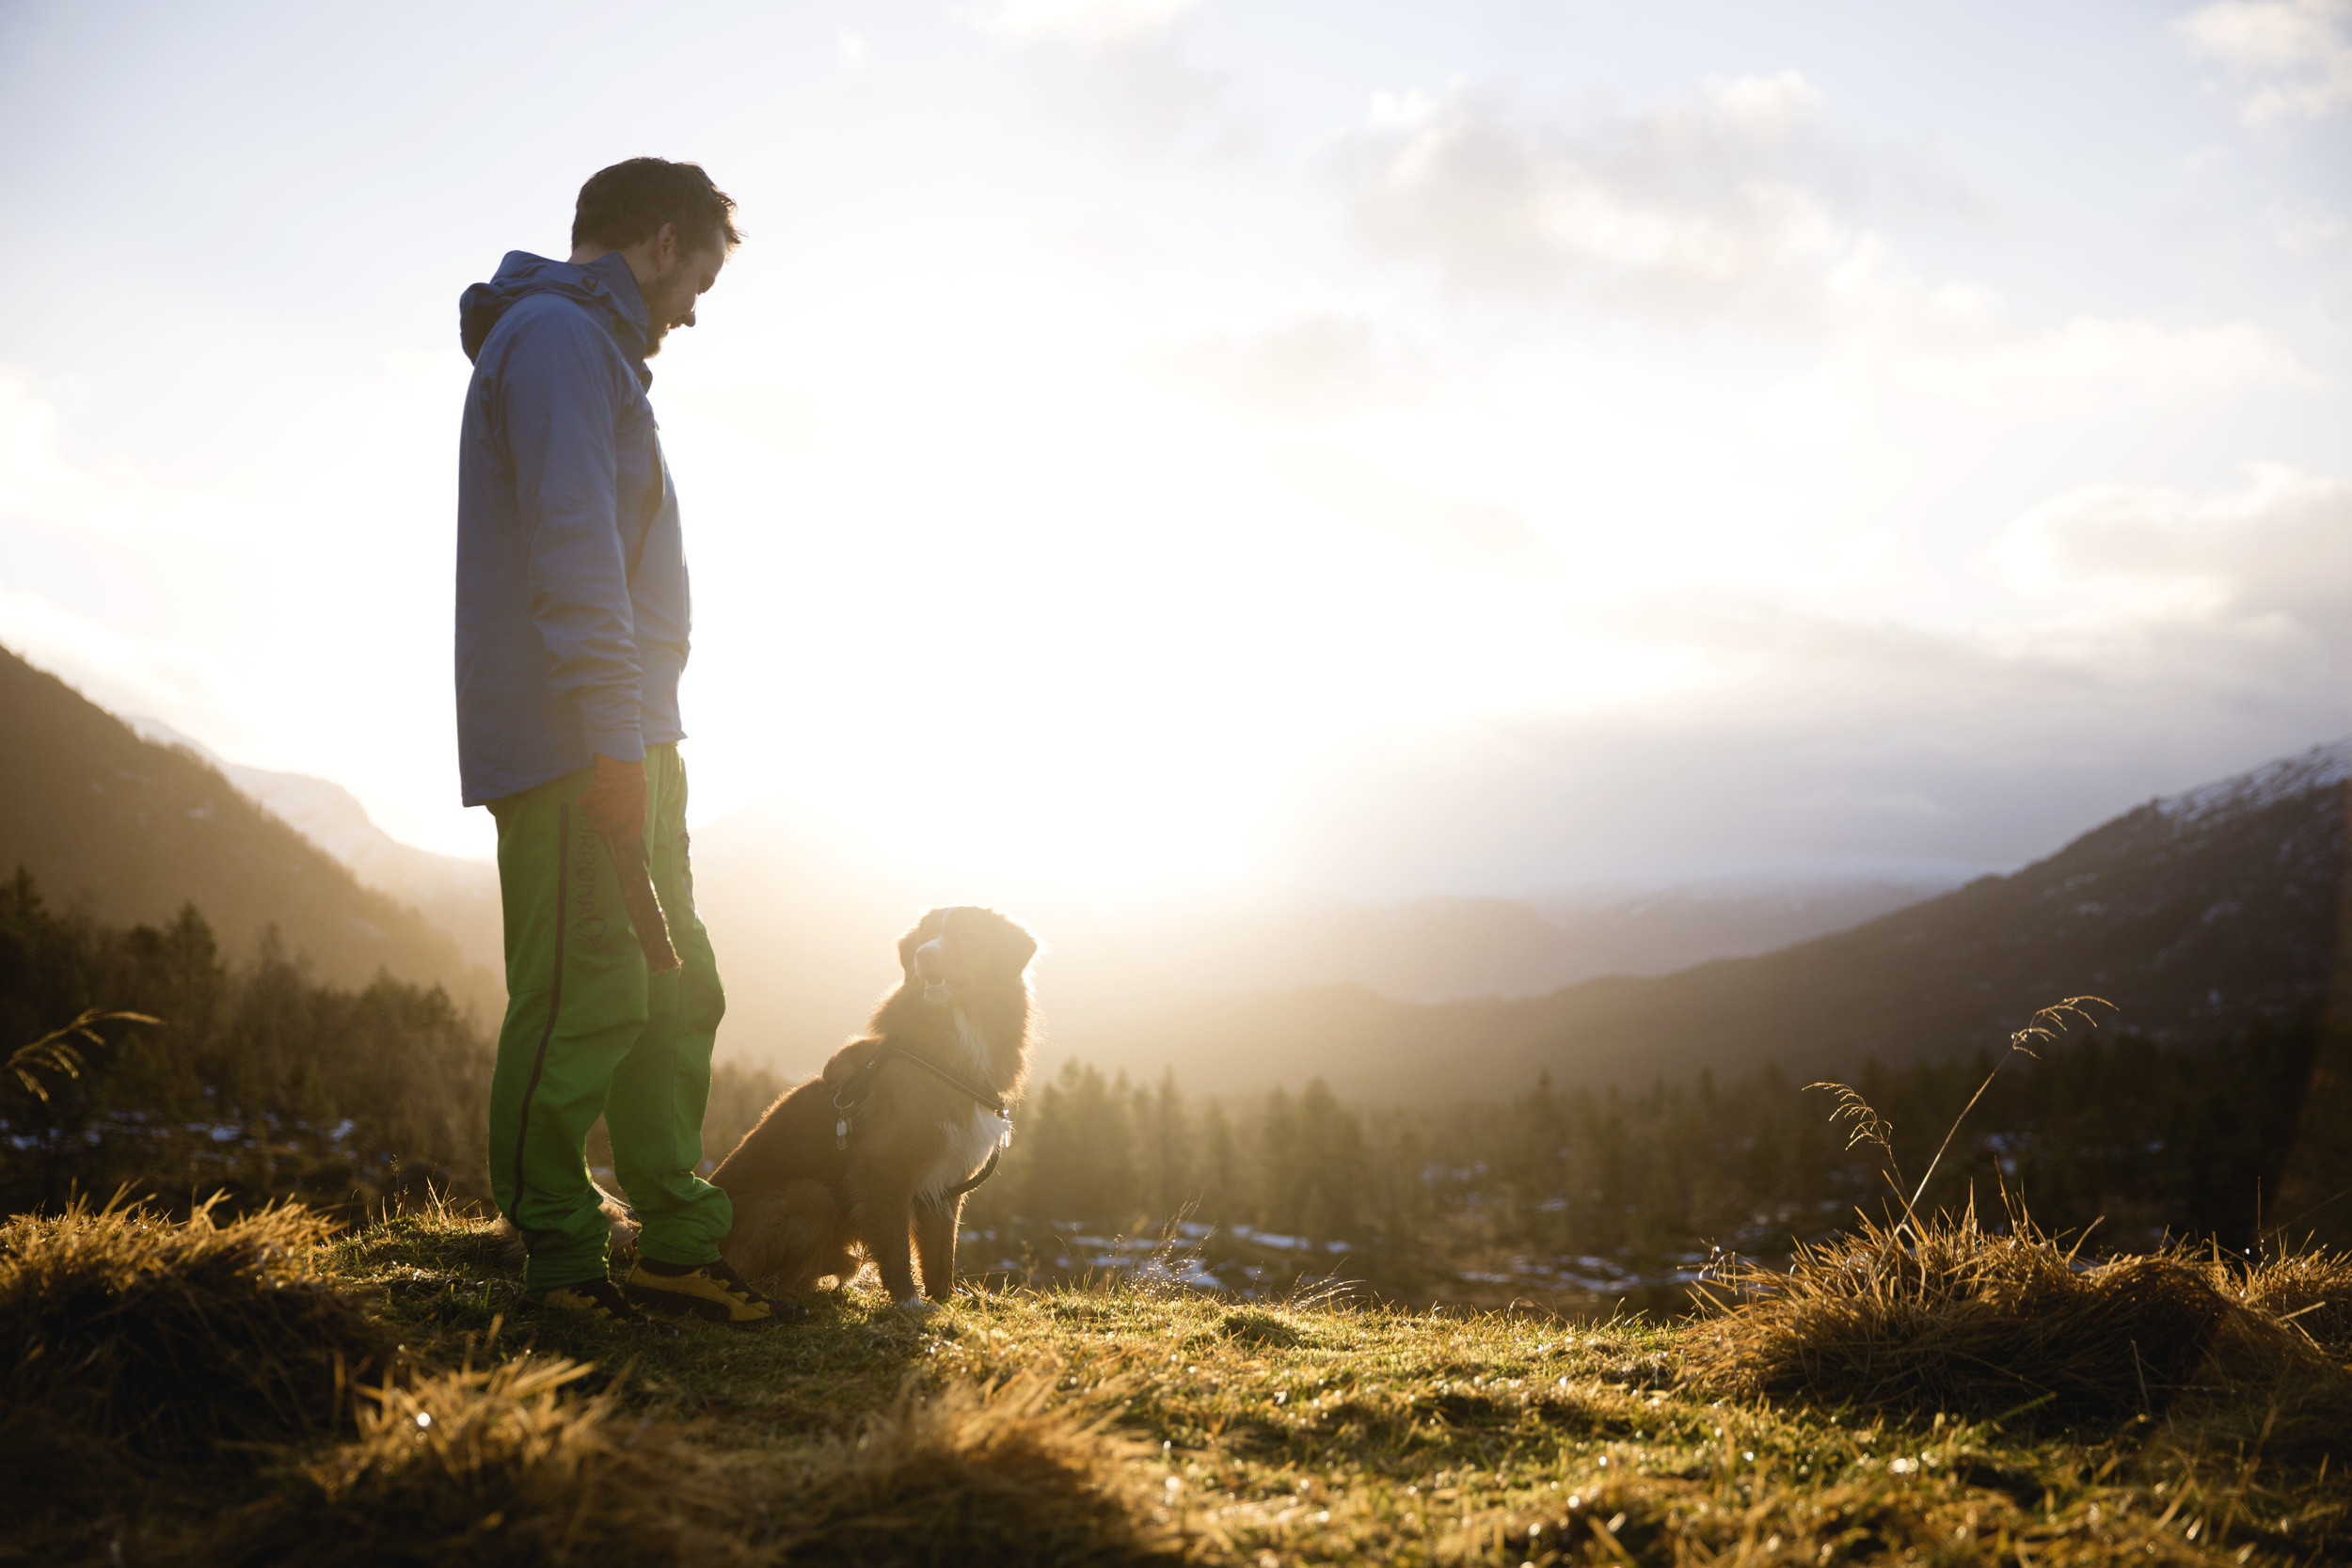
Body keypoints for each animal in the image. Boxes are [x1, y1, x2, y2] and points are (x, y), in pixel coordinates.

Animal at [710, 907, 1035, 1316]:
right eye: (926, 937)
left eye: (967, 936)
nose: (924, 955)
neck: (954, 1047)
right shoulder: (884, 1168)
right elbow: (896, 1246)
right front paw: (910, 1303)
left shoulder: (947, 1179)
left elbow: (941, 1251)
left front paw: (945, 1300)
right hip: (809, 1196)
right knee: (767, 1279)